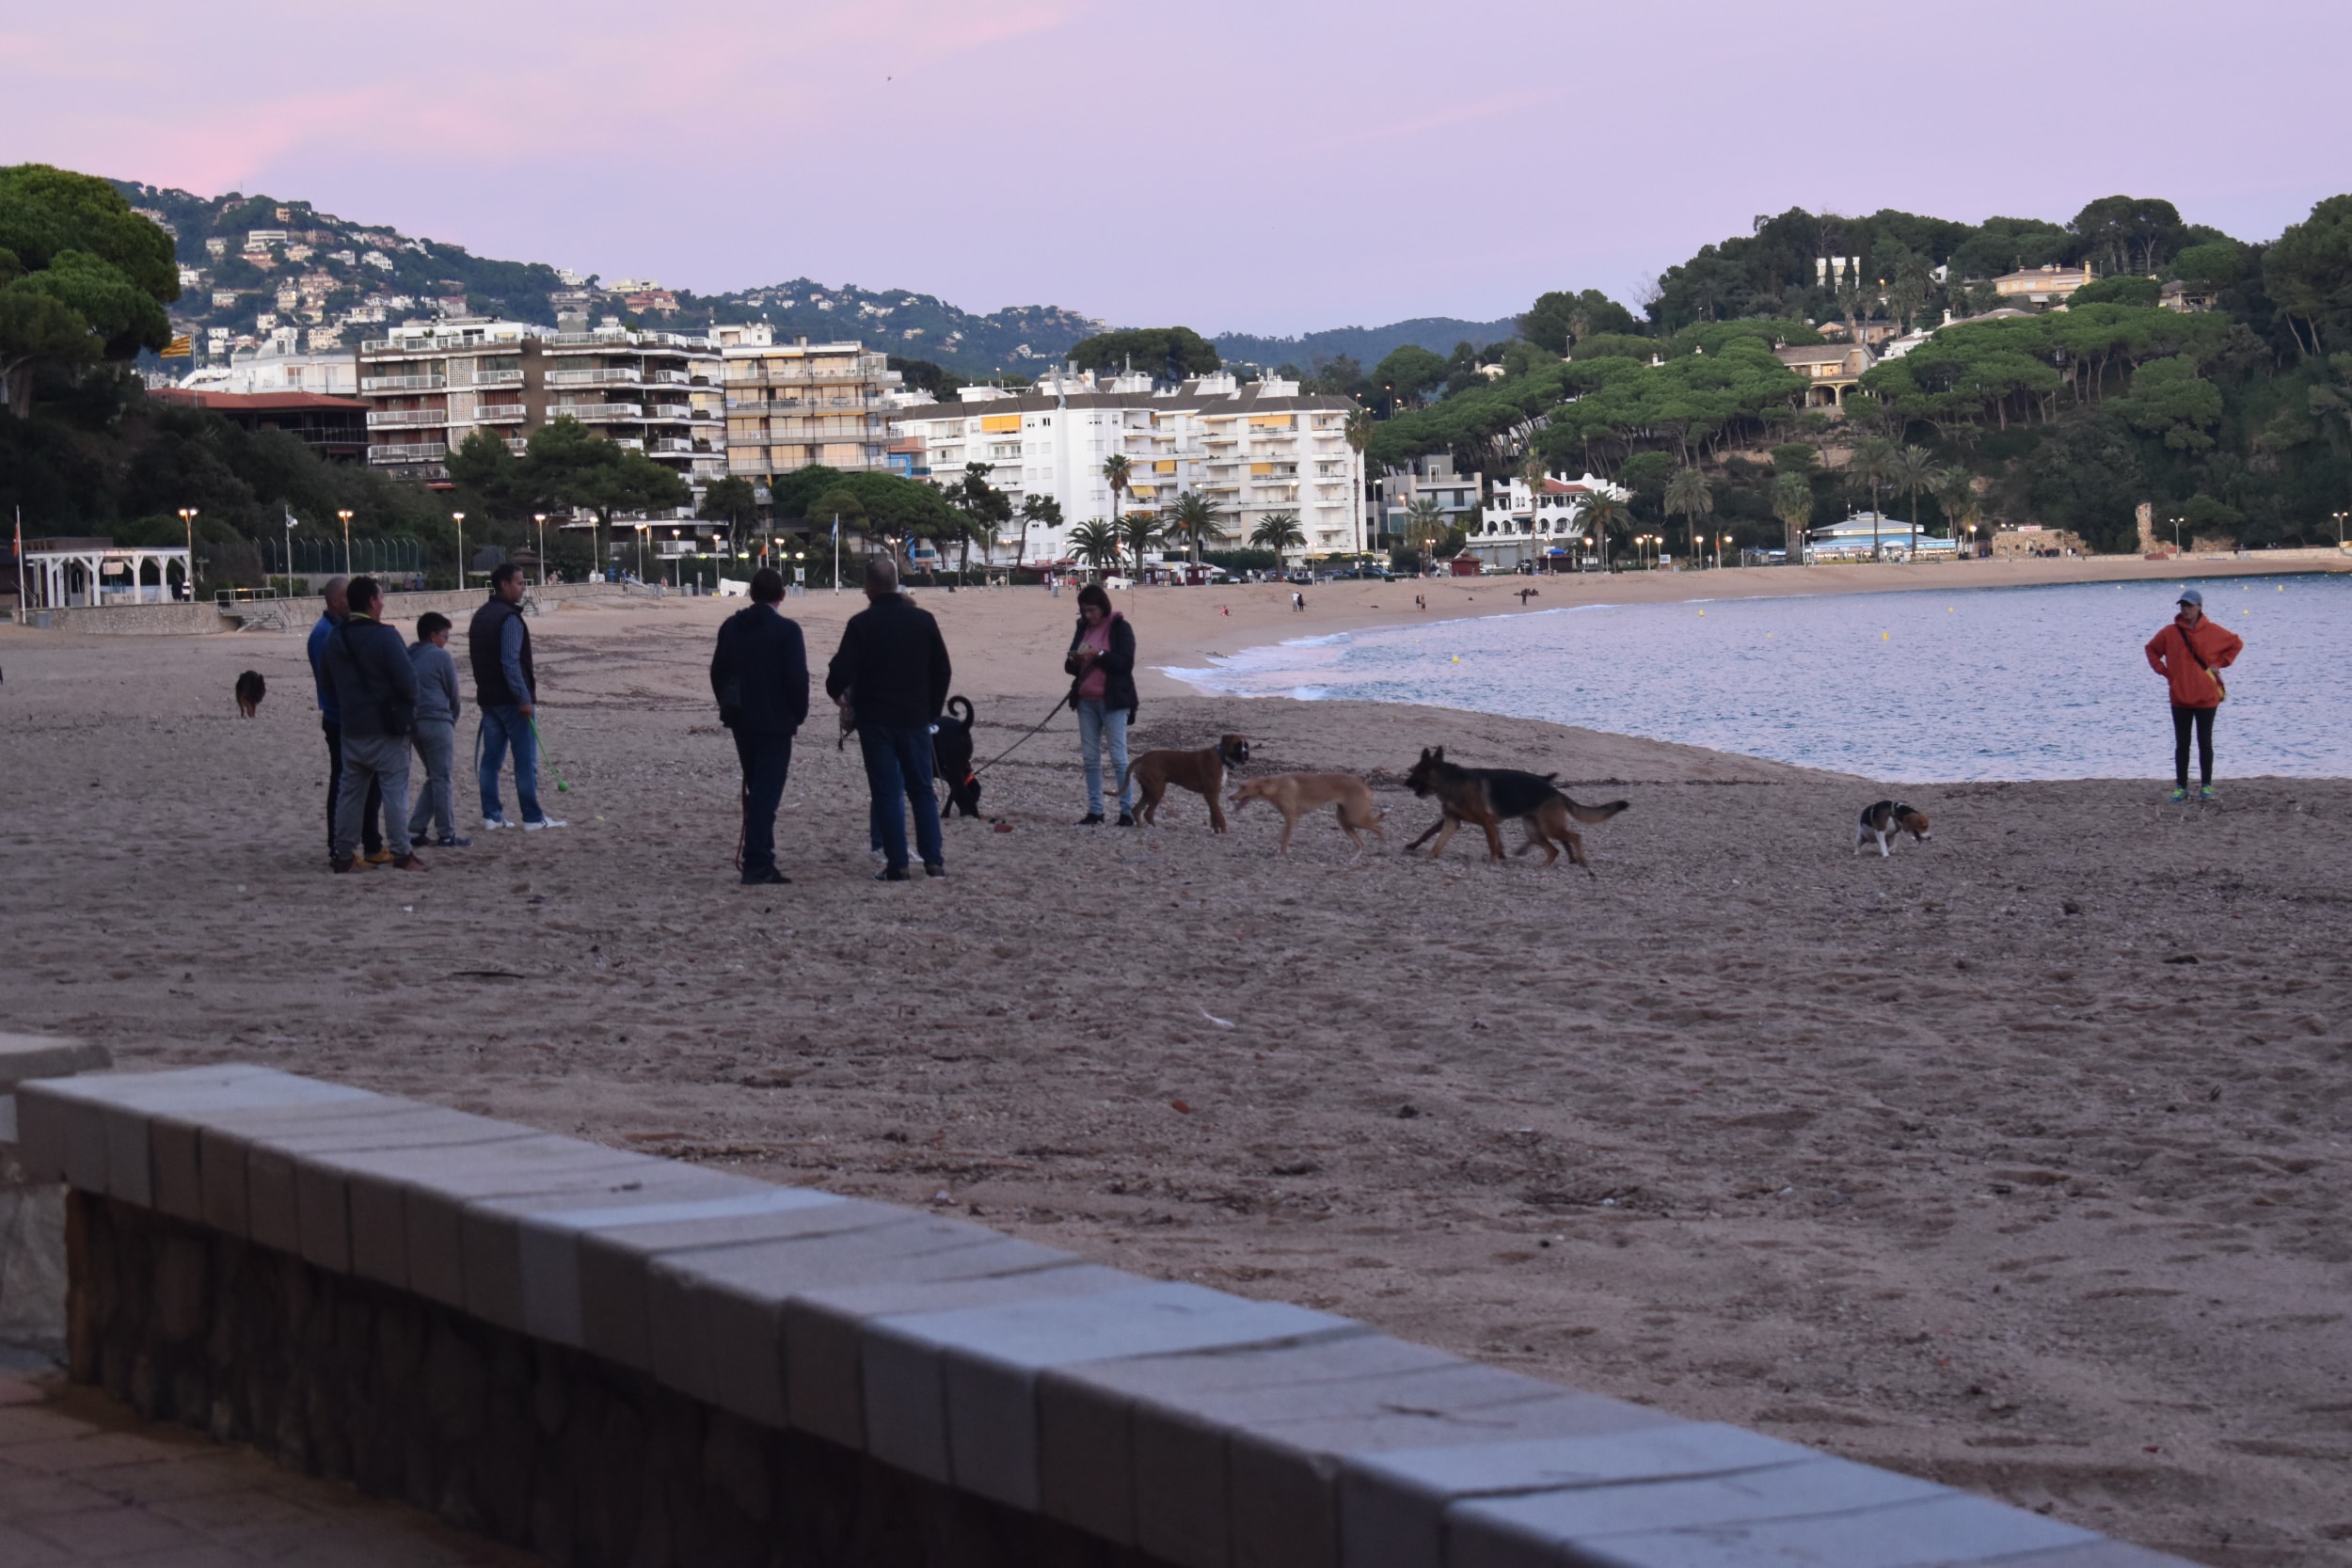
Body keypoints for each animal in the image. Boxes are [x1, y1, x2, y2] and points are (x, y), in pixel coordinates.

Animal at [1120, 737, 1251, 832]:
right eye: (1237, 745)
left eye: (1246, 745)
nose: (1246, 753)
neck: (1220, 757)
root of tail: (1143, 757)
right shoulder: (1210, 795)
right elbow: (1220, 815)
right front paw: (1223, 831)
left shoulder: (1213, 795)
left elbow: (1214, 814)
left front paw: (1216, 830)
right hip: (1157, 790)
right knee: (1148, 813)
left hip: (1148, 791)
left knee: (1137, 810)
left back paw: (1141, 826)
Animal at [1232, 770, 1374, 860]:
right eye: (1240, 786)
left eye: (1243, 787)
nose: (1230, 797)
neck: (1277, 786)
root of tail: (1364, 785)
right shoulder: (1289, 819)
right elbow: (1283, 838)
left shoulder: (1291, 818)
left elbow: (1284, 840)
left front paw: (1281, 855)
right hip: (1345, 818)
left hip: (1355, 818)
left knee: (1376, 827)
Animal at [1402, 747, 1628, 869]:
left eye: (1413, 772)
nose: (1404, 784)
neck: (1449, 782)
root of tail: (1557, 792)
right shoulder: (1452, 822)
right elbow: (1436, 841)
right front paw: (1427, 856)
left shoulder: (1487, 822)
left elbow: (1492, 844)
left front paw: (1493, 862)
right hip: (1534, 830)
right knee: (1553, 849)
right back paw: (1542, 867)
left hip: (1550, 827)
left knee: (1574, 837)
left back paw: (1580, 860)